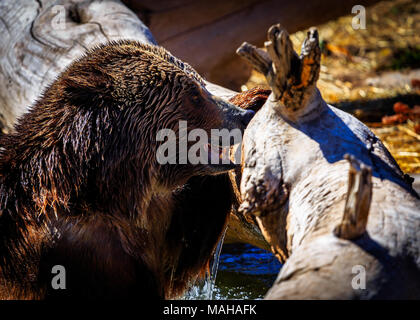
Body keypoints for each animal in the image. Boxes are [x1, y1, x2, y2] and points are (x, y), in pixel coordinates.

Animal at [0, 40, 254, 300]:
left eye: (201, 84)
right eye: (194, 94)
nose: (243, 116)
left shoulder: (153, 220)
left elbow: (186, 243)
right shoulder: (72, 251)